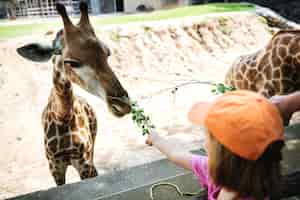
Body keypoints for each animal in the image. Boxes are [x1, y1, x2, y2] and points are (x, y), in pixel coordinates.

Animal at [14, 1, 130, 186]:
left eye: (107, 53)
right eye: (71, 62)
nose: (123, 104)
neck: (63, 116)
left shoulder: (84, 163)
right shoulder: (55, 167)